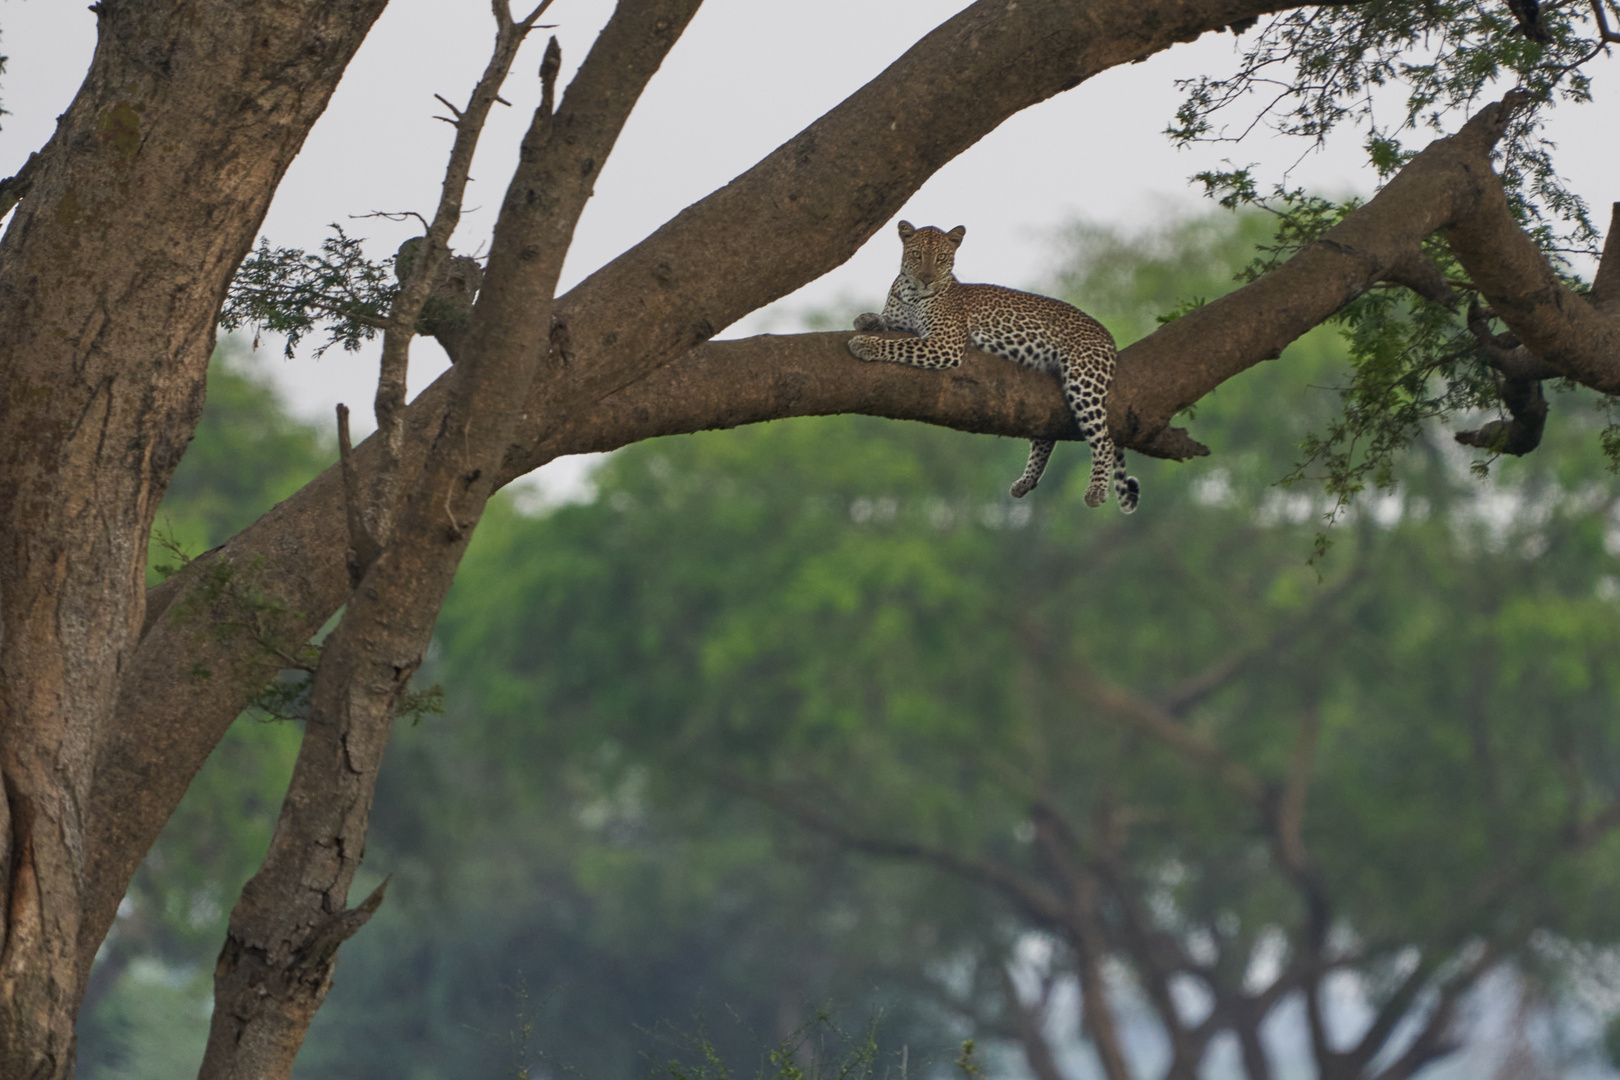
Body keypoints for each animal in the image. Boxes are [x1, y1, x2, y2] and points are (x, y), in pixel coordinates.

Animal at [848, 220, 1140, 514]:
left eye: (941, 258)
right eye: (917, 255)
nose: (926, 279)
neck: (911, 294)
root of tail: (1108, 336)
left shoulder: (945, 343)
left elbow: (902, 346)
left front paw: (865, 344)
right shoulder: (908, 323)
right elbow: (888, 322)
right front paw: (867, 319)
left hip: (1084, 379)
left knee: (1104, 440)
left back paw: (1096, 491)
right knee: (1046, 437)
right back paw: (1025, 483)